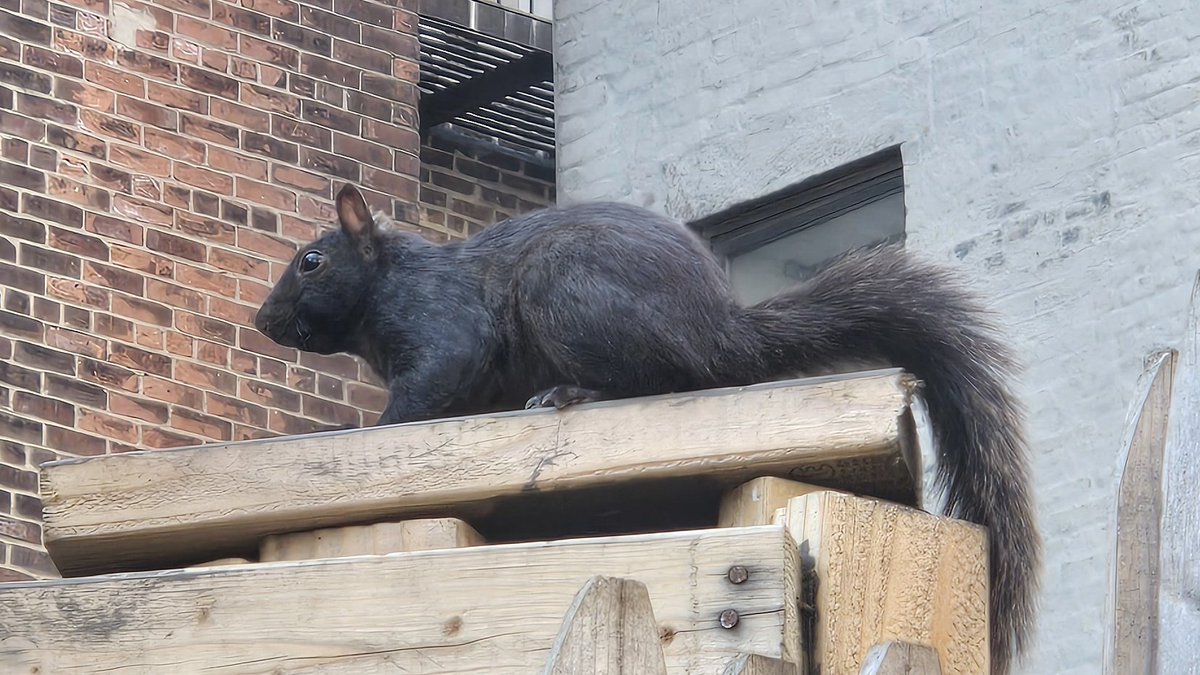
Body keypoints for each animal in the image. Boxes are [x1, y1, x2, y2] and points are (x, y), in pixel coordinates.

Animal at [255, 183, 1040, 674]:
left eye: (312, 261)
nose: (263, 321)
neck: (384, 288)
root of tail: (721, 331)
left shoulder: (443, 329)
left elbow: (430, 386)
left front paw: (357, 431)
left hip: (570, 289)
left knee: (668, 377)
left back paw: (567, 390)